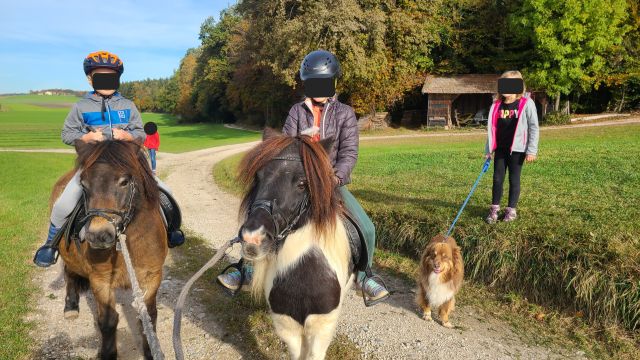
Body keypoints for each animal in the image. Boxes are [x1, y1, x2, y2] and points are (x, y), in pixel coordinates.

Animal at [238, 130, 356, 360]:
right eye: (258, 177)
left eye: (302, 184)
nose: (252, 239)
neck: (304, 274)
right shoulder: (287, 325)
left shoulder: (321, 327)